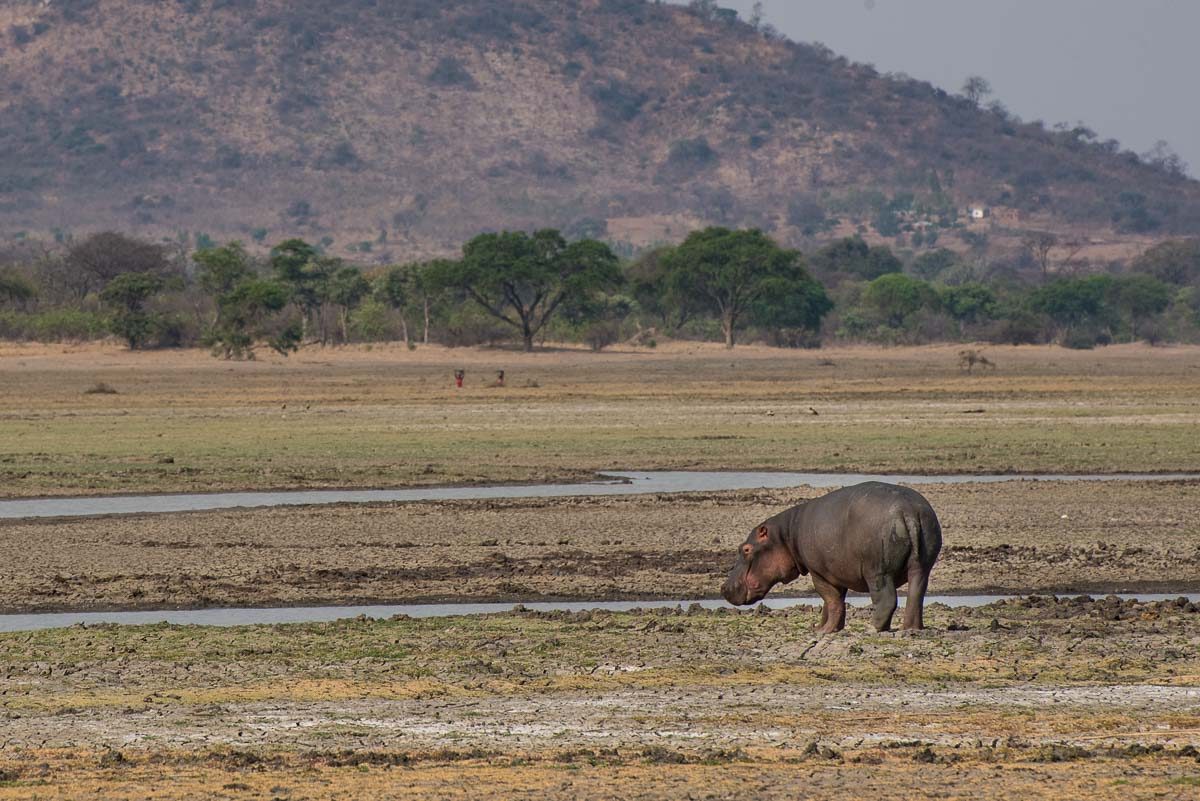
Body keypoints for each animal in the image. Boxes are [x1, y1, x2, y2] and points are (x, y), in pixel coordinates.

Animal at [715, 482, 940, 633]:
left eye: (745, 549)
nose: (724, 587)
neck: (786, 535)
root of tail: (908, 511)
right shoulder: (837, 573)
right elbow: (833, 603)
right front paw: (821, 627)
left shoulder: (819, 572)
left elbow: (830, 600)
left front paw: (824, 631)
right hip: (922, 566)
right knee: (916, 595)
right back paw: (911, 629)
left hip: (877, 571)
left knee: (886, 599)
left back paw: (872, 629)